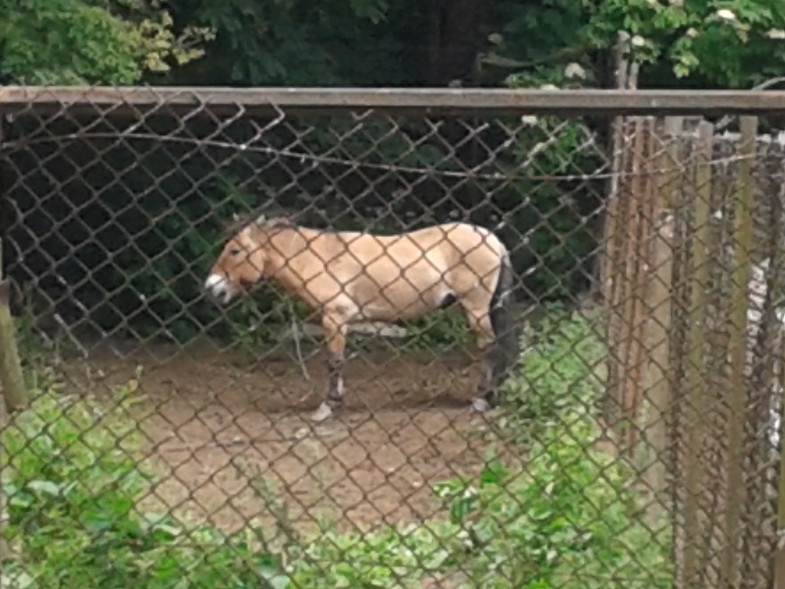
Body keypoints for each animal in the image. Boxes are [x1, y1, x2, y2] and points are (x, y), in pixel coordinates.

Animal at [205, 214, 516, 420]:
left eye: (234, 250)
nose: (211, 288)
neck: (320, 258)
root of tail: (493, 240)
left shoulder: (334, 319)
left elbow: (334, 361)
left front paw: (327, 407)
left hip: (475, 308)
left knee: (489, 347)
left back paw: (480, 401)